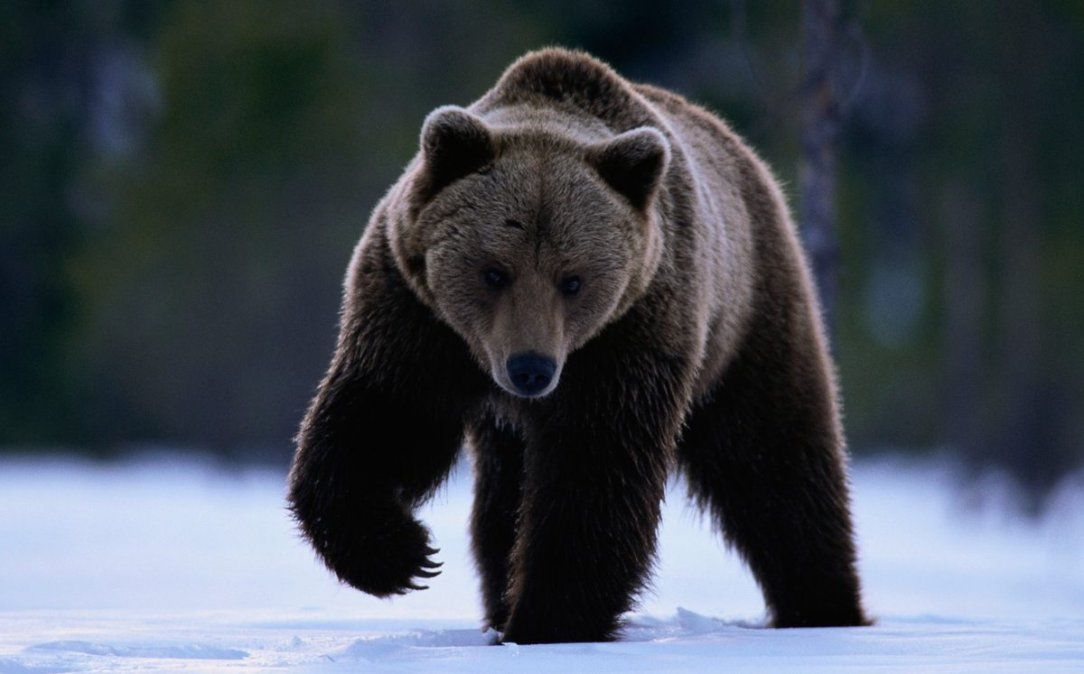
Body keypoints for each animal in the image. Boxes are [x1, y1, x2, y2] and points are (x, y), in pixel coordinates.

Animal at [287, 47, 867, 645]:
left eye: (573, 280)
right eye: (494, 271)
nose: (531, 369)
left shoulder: (630, 334)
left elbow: (595, 470)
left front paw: (548, 620)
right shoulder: (415, 315)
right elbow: (384, 419)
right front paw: (402, 555)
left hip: (749, 318)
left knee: (775, 463)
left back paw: (823, 606)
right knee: (501, 503)